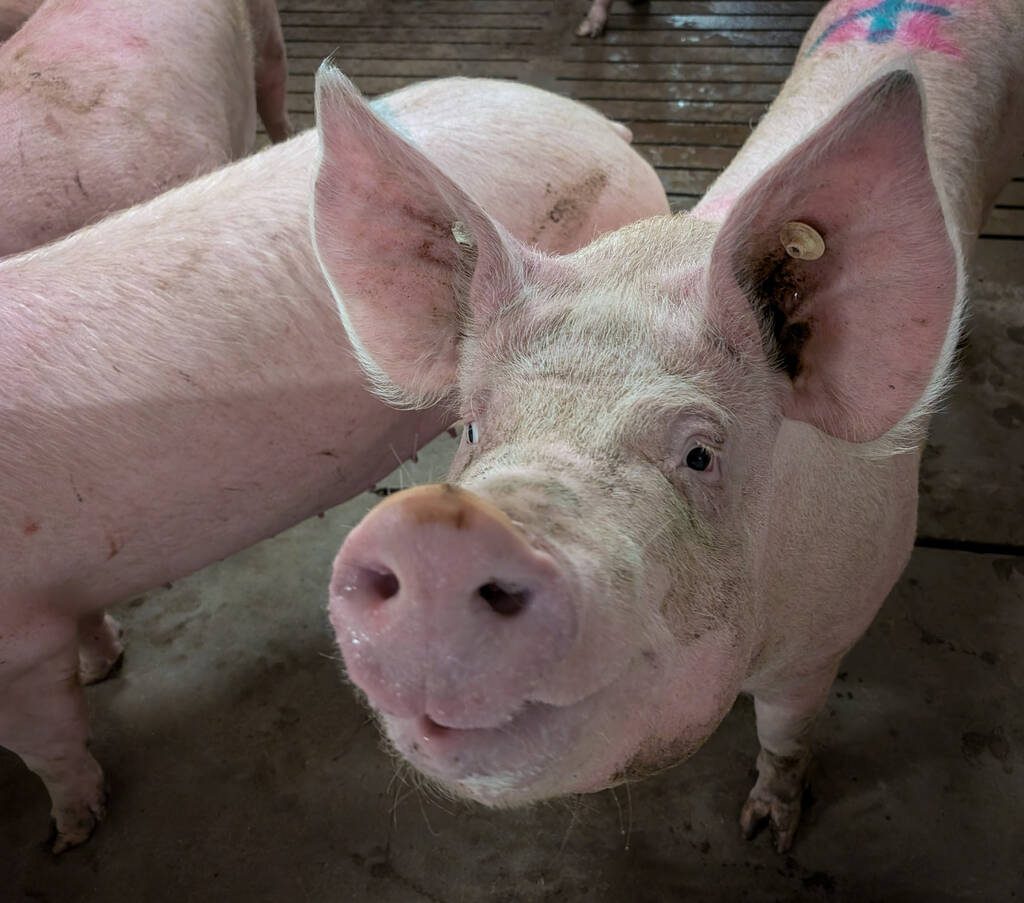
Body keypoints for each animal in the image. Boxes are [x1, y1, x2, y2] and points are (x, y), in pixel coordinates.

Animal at [319, 0, 1024, 852]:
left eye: (698, 453)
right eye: (471, 428)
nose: (438, 533)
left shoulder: (827, 635)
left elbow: (786, 734)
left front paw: (766, 833)